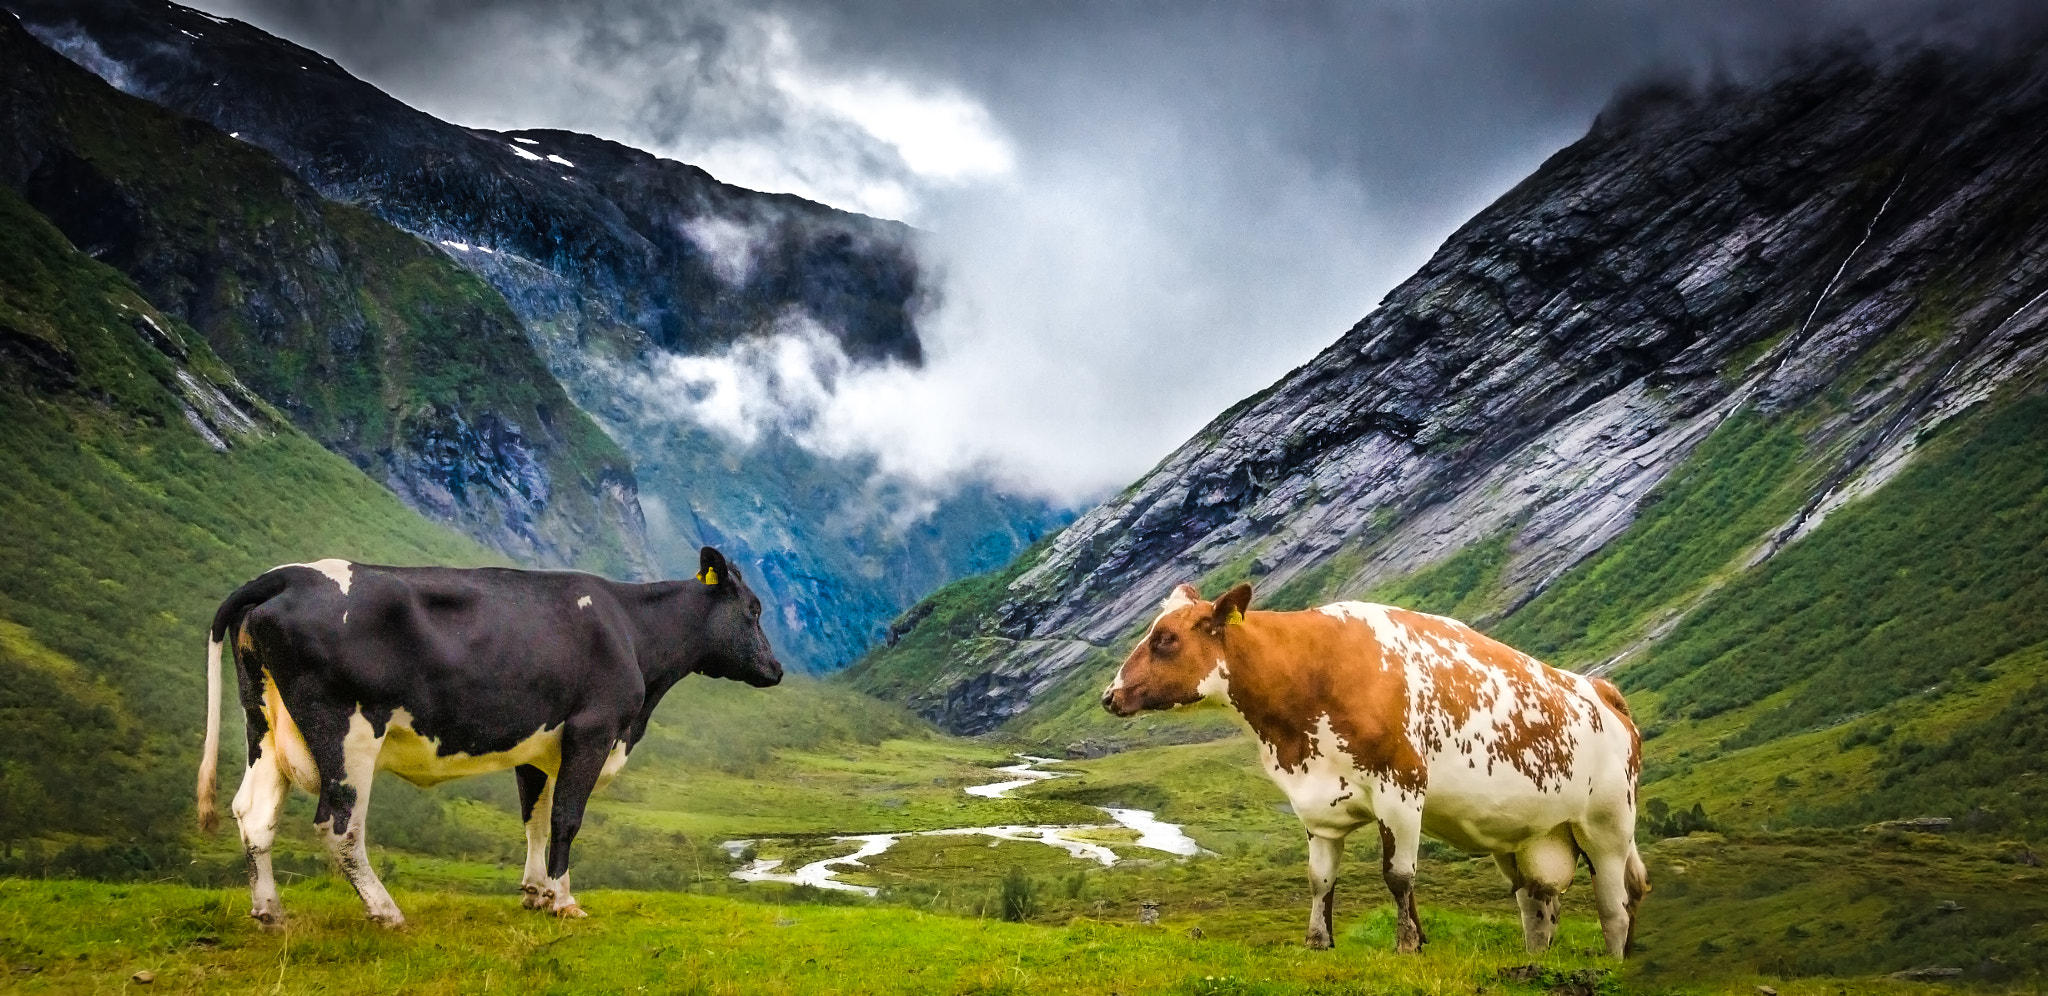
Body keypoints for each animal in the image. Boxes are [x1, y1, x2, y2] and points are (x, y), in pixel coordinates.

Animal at [194, 547, 782, 928]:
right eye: (754, 610)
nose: (776, 670)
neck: (632, 634)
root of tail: (289, 575)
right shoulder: (592, 729)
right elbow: (566, 820)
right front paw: (563, 901)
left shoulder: (538, 747)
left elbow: (534, 821)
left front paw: (535, 892)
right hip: (347, 730)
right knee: (340, 826)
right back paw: (385, 911)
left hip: (265, 726)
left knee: (254, 813)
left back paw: (270, 912)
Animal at [1101, 582, 1647, 958]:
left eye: (1165, 638)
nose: (1109, 696)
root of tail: (1599, 687)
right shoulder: (1316, 804)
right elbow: (1319, 880)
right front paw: (1317, 942)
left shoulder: (1401, 789)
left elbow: (1398, 876)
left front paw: (1408, 944)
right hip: (1530, 837)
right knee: (1538, 901)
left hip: (1608, 823)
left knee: (1616, 899)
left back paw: (1615, 960)